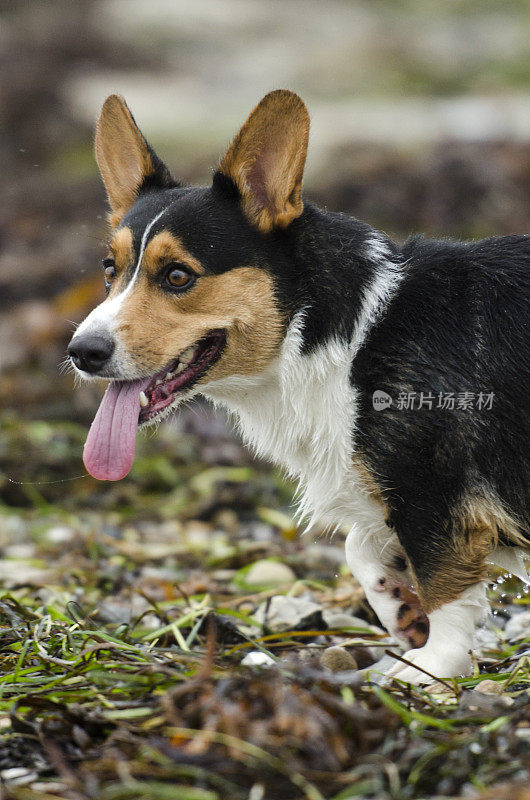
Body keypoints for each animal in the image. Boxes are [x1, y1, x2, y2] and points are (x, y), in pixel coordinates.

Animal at [68, 92, 524, 680]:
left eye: (177, 276)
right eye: (109, 269)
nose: (81, 352)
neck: (342, 333)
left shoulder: (432, 492)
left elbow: (446, 586)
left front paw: (430, 666)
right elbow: (360, 546)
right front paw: (398, 605)